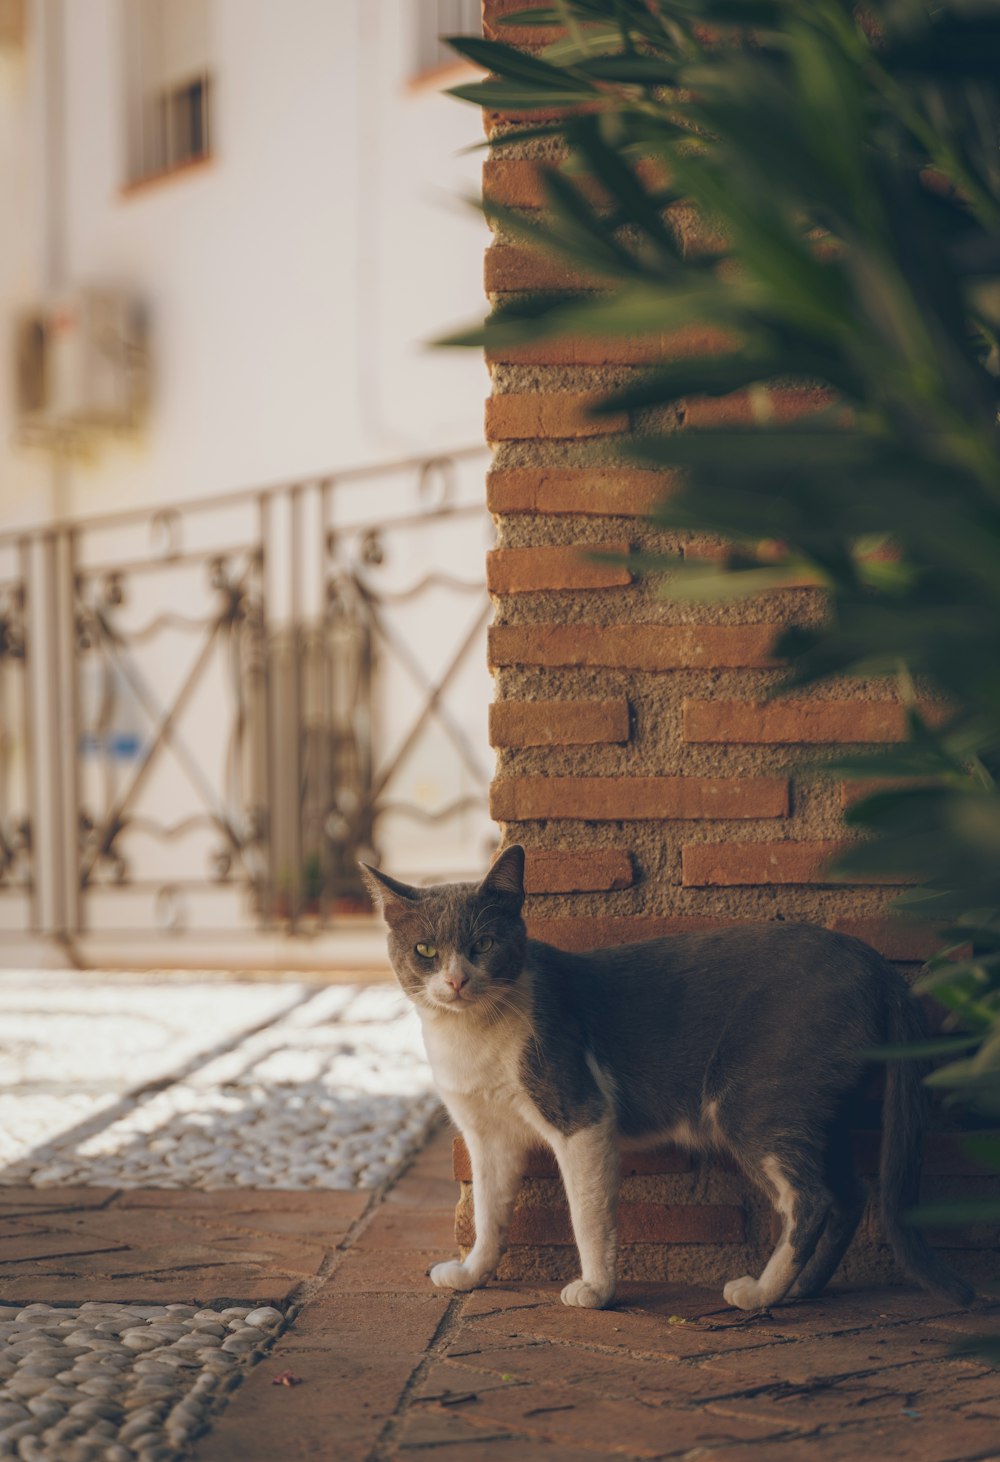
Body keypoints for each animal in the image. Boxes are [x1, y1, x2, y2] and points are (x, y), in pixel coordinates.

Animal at [362, 847, 970, 1315]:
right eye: (425, 950)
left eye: (484, 945)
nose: (456, 980)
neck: (471, 1038)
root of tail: (876, 966)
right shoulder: (489, 1135)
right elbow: (489, 1212)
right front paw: (472, 1274)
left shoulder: (581, 1111)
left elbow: (588, 1215)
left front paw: (596, 1291)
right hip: (820, 1107)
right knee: (849, 1195)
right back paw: (801, 1290)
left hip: (756, 1101)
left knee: (812, 1199)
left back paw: (760, 1293)